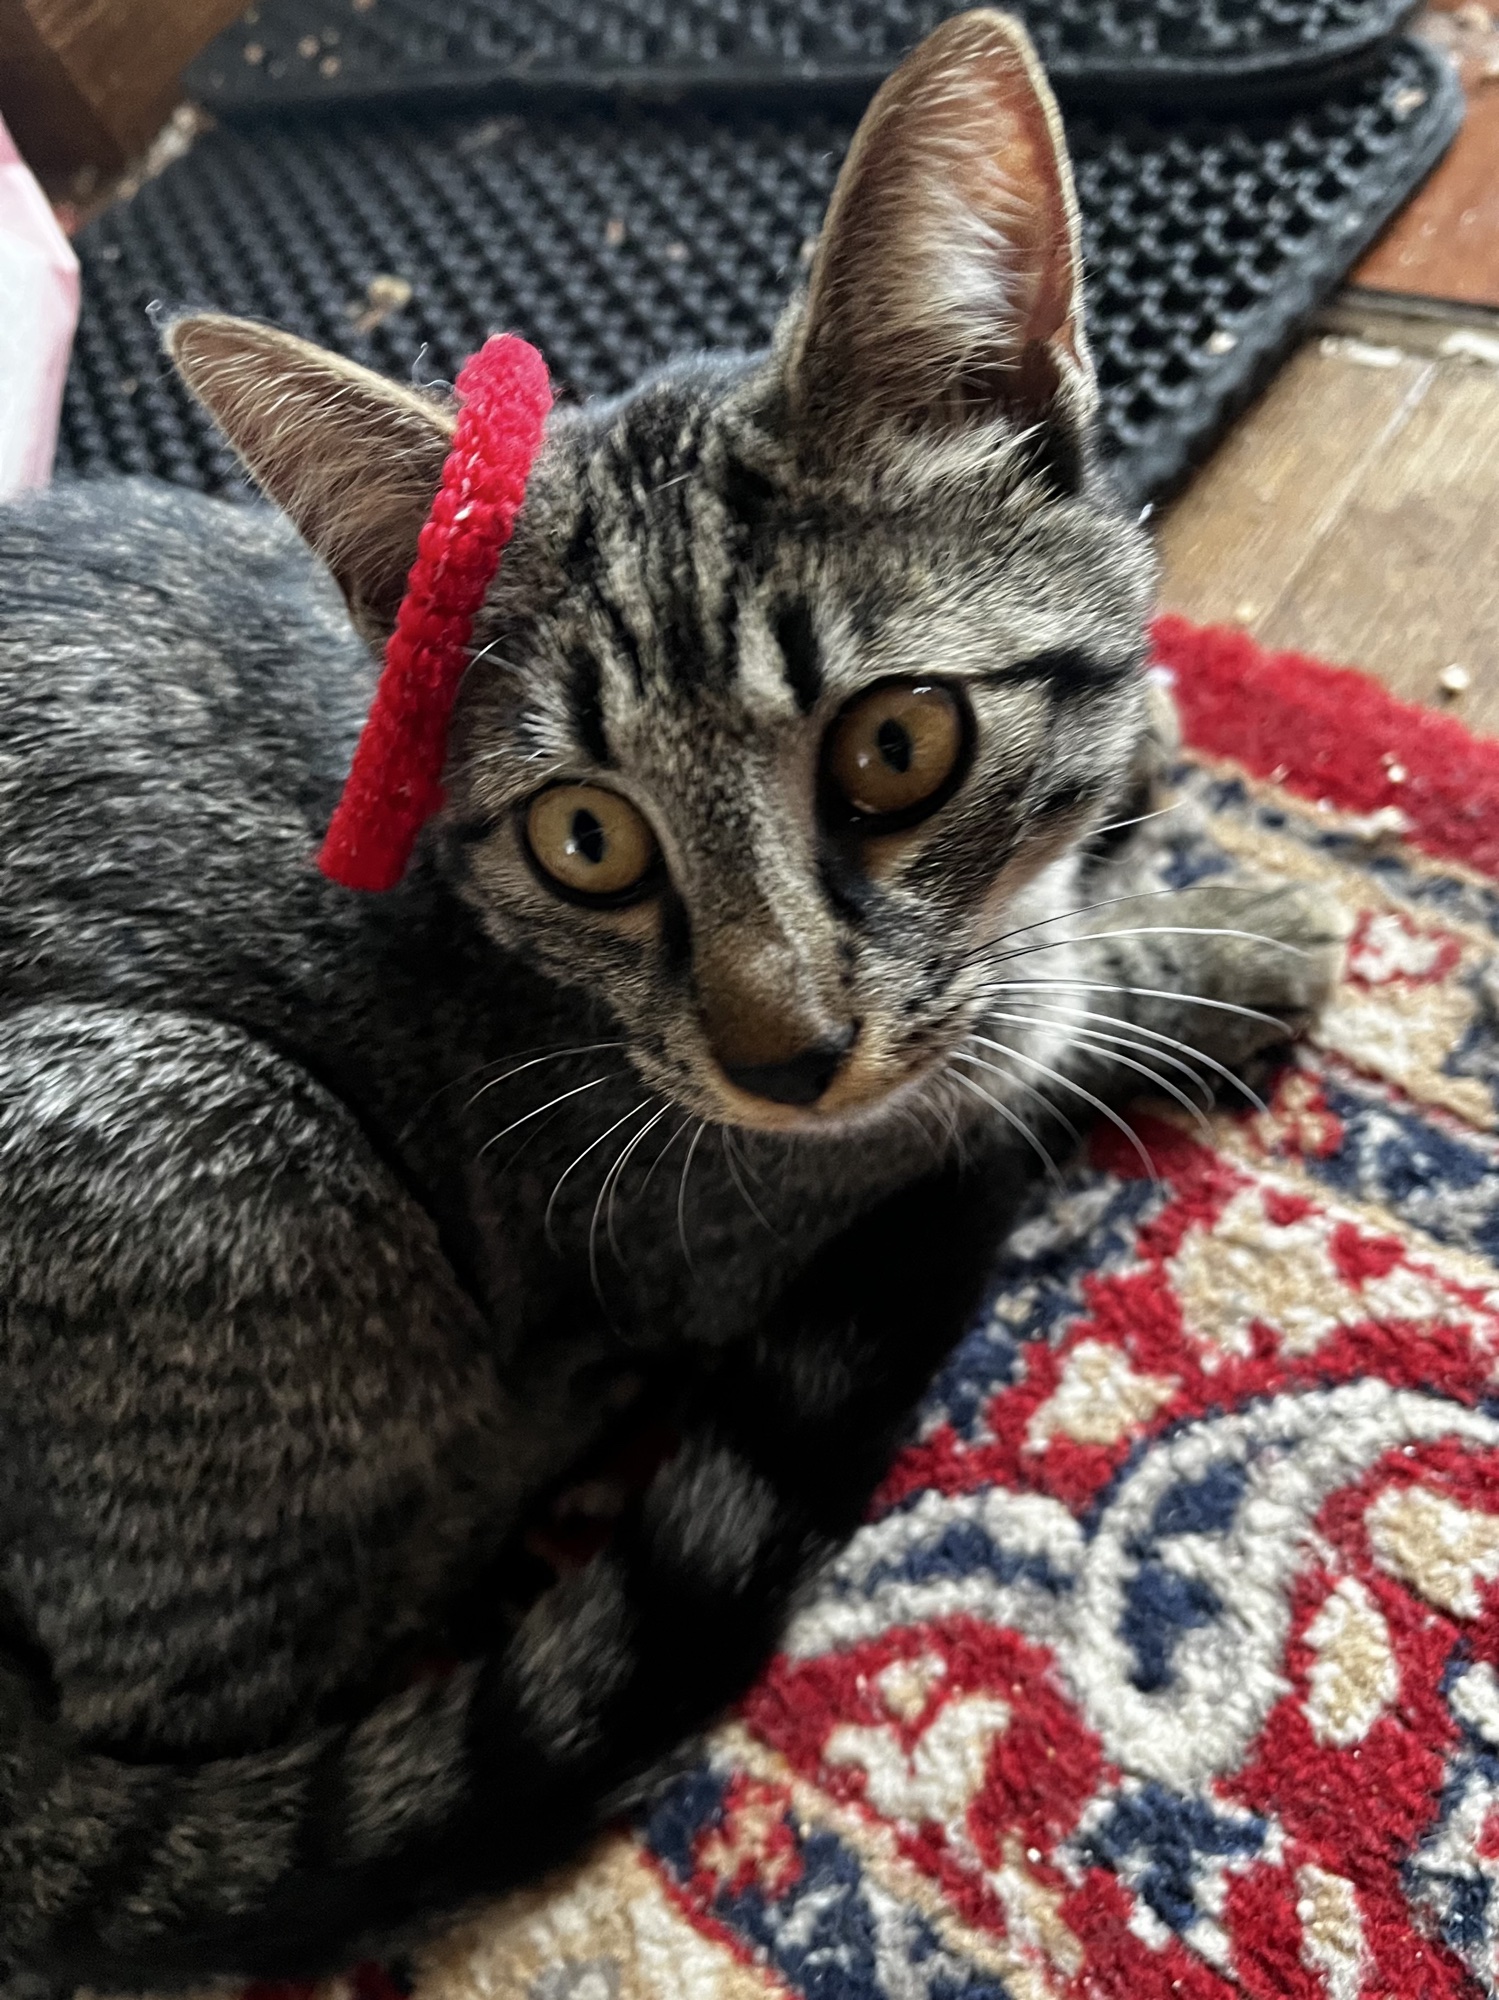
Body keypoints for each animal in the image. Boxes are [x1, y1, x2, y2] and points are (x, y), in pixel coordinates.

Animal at [0, 9, 1339, 1992]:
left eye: (894, 745)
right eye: (587, 839)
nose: (782, 1055)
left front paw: (1141, 758)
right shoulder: (696, 1196)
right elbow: (1017, 1035)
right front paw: (1213, 936)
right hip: (209, 1147)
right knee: (245, 1662)